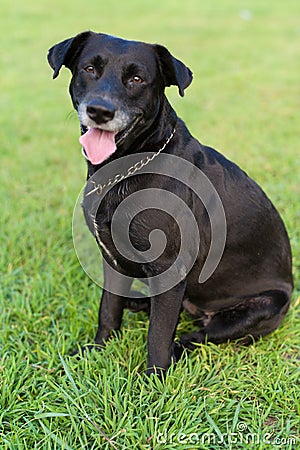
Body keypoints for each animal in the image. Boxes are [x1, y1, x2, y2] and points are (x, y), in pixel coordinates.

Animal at [47, 30, 292, 376]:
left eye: (137, 79)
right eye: (89, 69)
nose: (100, 111)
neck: (128, 165)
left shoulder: (169, 268)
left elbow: (159, 335)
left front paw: (154, 380)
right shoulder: (111, 259)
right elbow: (108, 309)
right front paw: (96, 352)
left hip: (260, 307)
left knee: (198, 335)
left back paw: (178, 347)